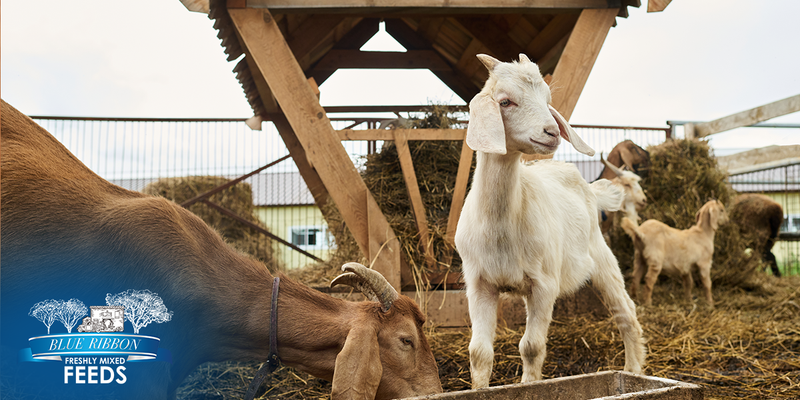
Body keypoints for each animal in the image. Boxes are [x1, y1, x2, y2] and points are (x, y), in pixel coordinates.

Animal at [454, 54, 645, 389]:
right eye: (505, 101)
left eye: (547, 100)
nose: (552, 132)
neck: (502, 225)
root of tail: (590, 189)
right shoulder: (479, 283)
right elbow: (478, 352)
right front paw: (479, 388)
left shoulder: (544, 284)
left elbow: (531, 347)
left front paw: (529, 386)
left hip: (601, 256)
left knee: (626, 313)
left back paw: (633, 370)